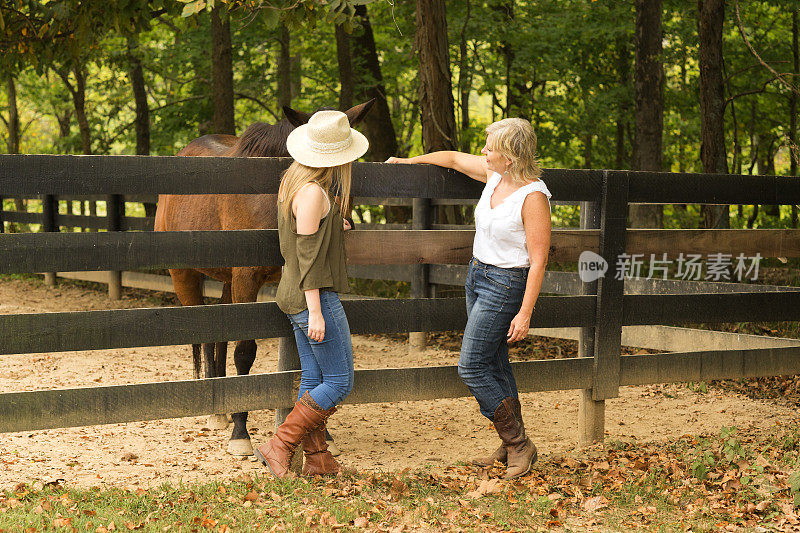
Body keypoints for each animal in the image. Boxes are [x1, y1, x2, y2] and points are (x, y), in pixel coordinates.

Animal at [155, 100, 376, 454]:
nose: (342, 226)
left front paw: (322, 432)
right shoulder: (247, 279)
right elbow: (245, 351)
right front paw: (240, 434)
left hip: (227, 280)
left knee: (219, 330)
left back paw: (221, 409)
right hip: (185, 275)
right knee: (203, 331)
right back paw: (215, 413)